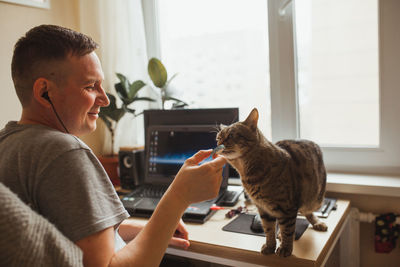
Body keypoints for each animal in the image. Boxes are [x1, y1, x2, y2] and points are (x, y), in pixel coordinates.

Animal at [217, 108, 326, 258]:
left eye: (231, 135)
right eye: (218, 137)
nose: (218, 144)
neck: (247, 173)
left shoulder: (287, 207)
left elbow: (287, 230)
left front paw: (285, 248)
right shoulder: (263, 209)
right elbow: (268, 229)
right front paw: (270, 246)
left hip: (314, 200)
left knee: (307, 212)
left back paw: (317, 222)